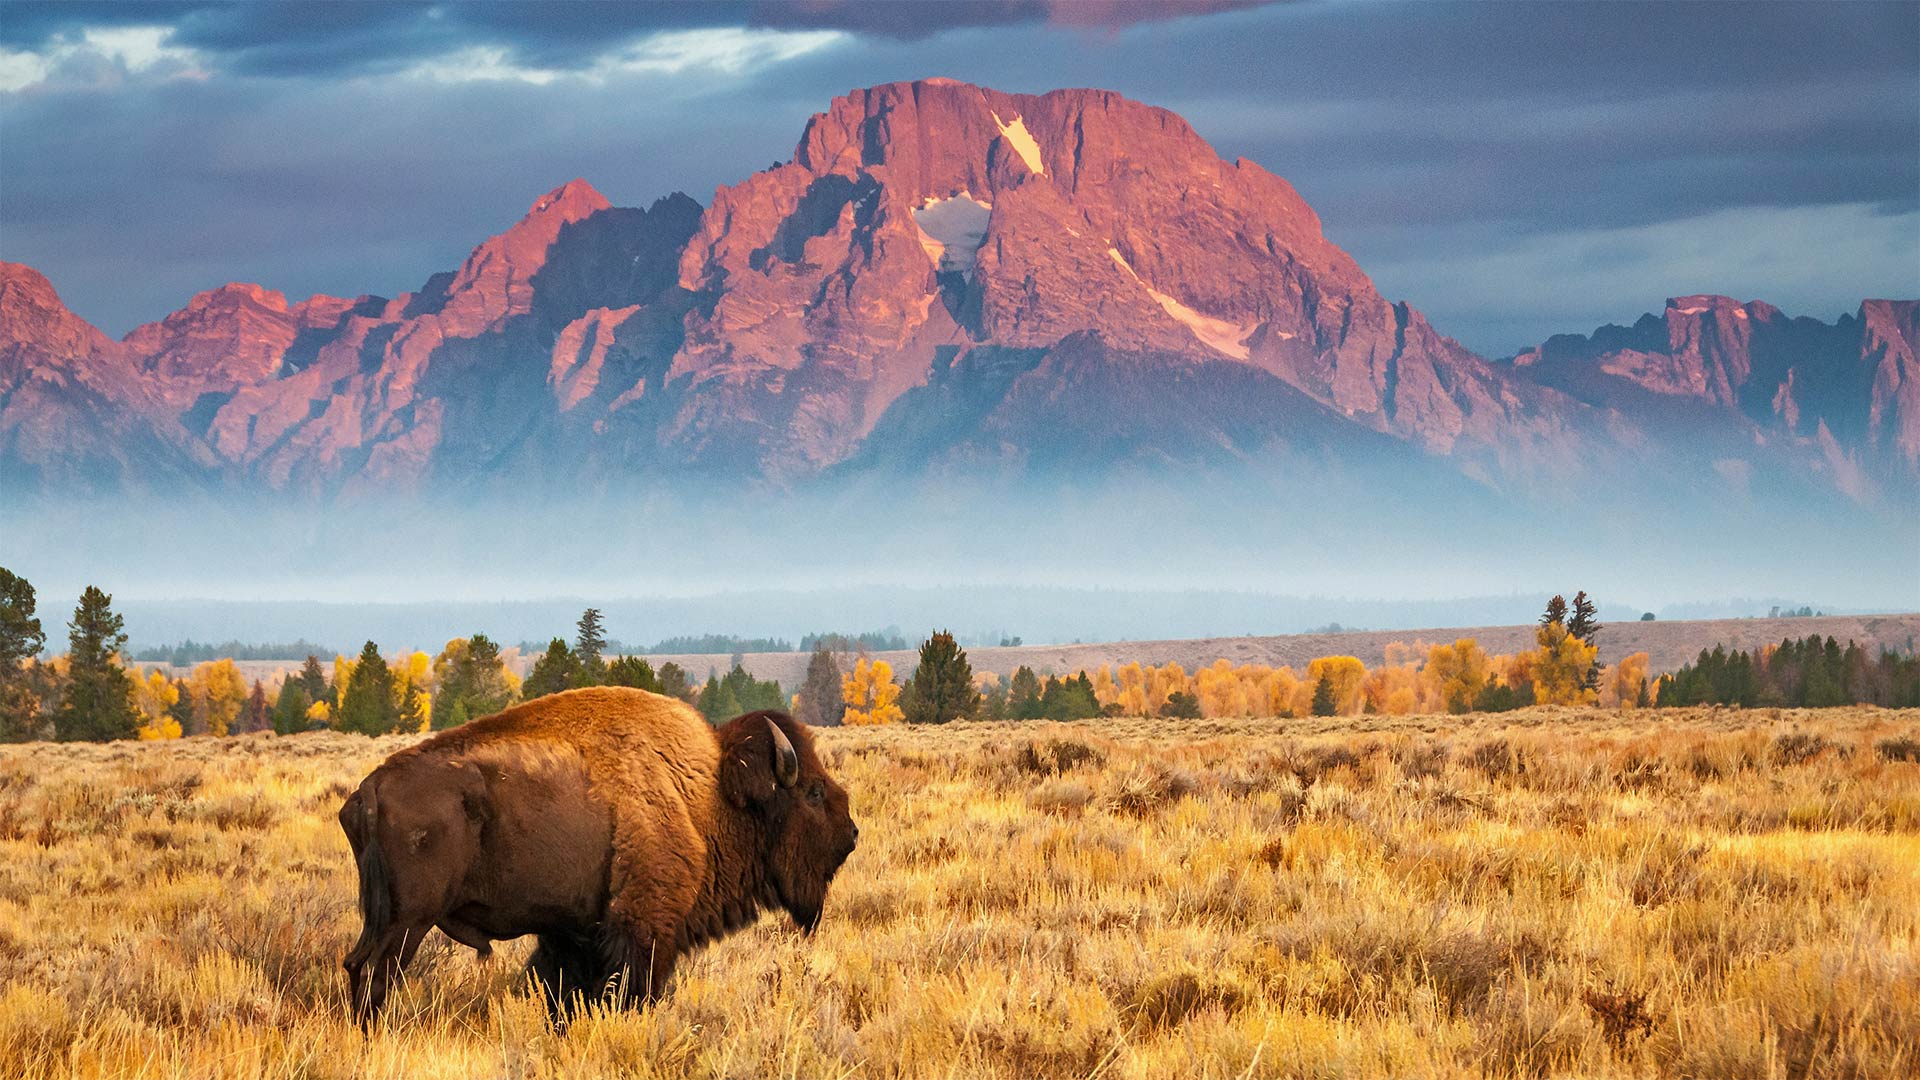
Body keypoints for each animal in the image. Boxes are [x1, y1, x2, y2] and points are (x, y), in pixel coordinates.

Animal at [338, 687, 858, 1021]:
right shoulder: (643, 930)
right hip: (408, 922)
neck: (708, 794)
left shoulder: (574, 933)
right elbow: (632, 991)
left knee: (356, 966)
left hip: (382, 918)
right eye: (812, 793)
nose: (851, 834)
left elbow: (563, 991)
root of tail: (370, 790)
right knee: (376, 974)